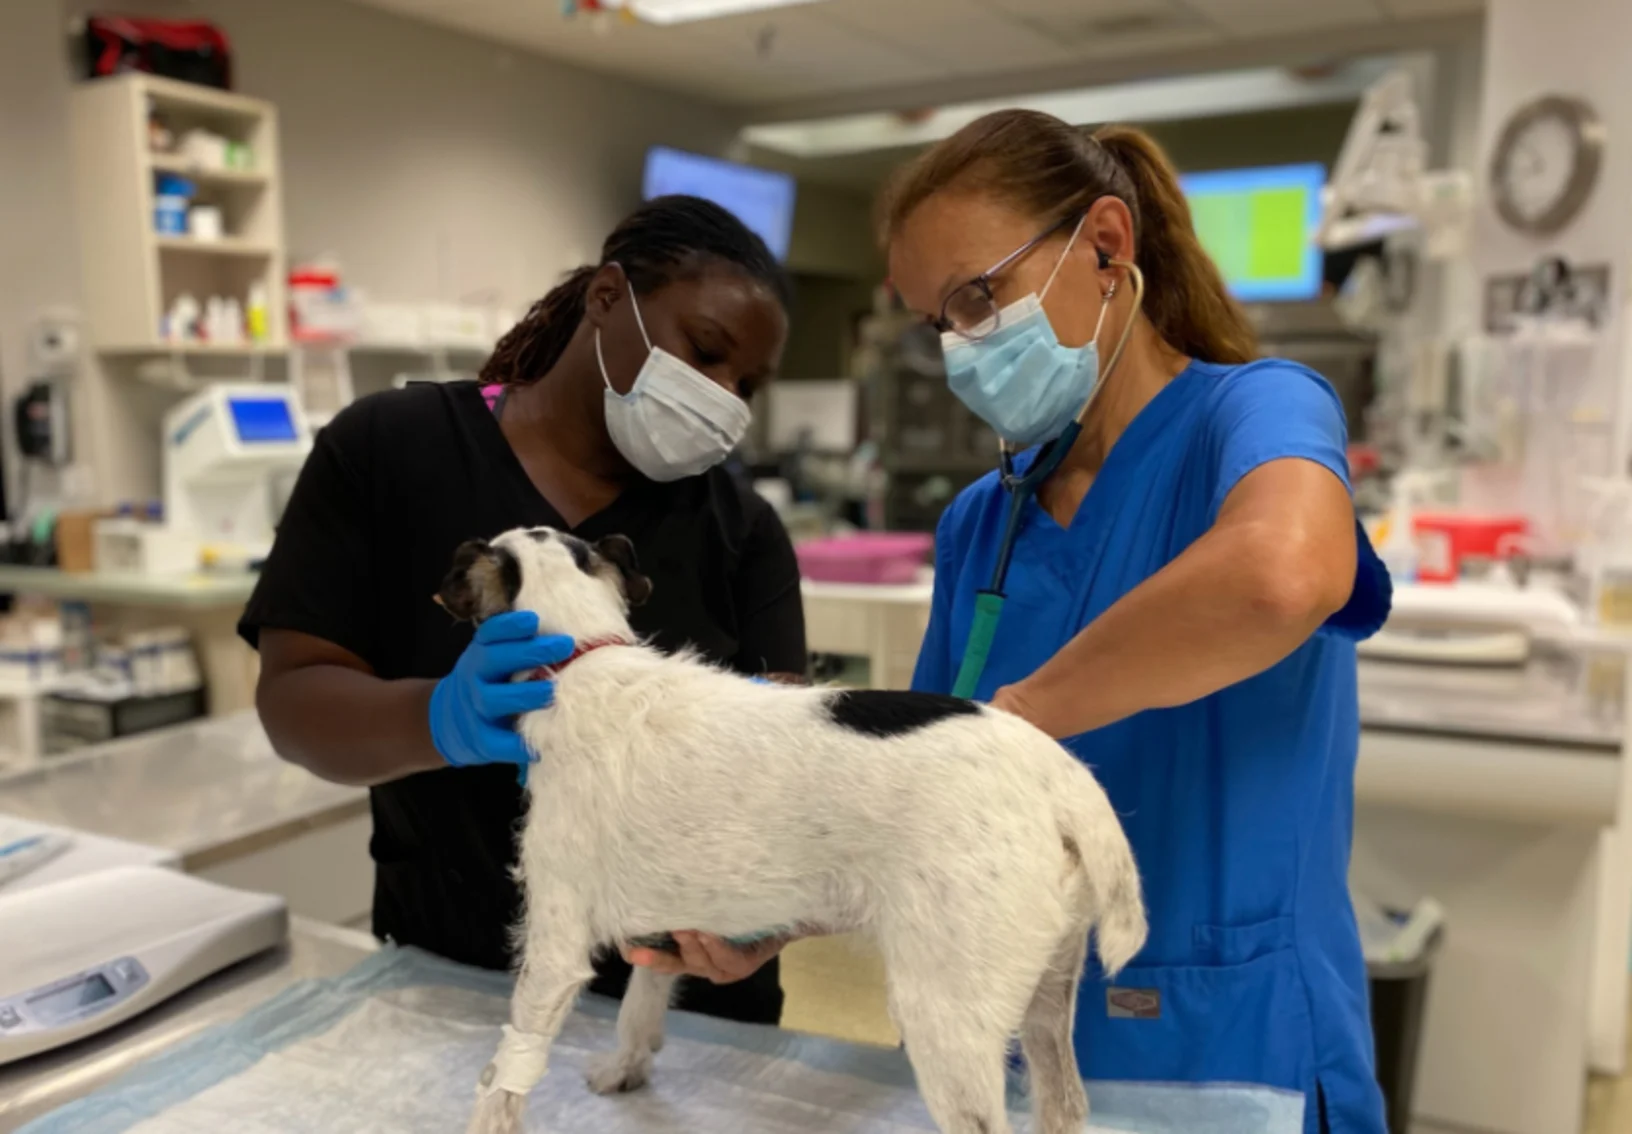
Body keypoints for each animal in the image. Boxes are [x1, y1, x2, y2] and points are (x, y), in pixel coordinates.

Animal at [440, 528, 1142, 1129]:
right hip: (1049, 992)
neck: (578, 658)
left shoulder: (555, 947)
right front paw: (626, 1068)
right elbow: (640, 1006)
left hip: (948, 1018)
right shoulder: (663, 925)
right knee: (1065, 1104)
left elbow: (509, 1070)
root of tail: (1063, 779)